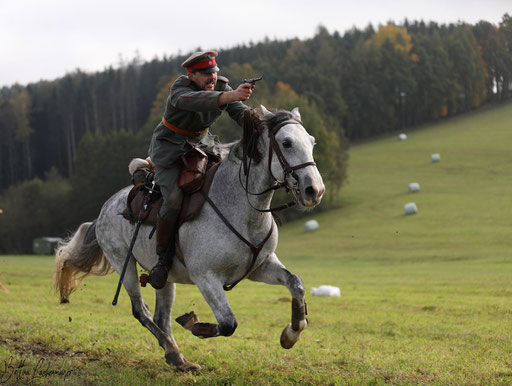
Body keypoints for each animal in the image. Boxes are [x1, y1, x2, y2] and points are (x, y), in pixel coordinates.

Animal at [55, 106, 324, 370]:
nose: (315, 190)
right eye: (286, 143)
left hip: (163, 278)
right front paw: (192, 323)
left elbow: (296, 283)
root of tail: (103, 211)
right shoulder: (206, 278)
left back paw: (178, 359)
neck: (244, 210)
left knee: (161, 317)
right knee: (141, 312)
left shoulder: (260, 267)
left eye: (312, 142)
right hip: (125, 264)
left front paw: (290, 335)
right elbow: (228, 324)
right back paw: (173, 352)